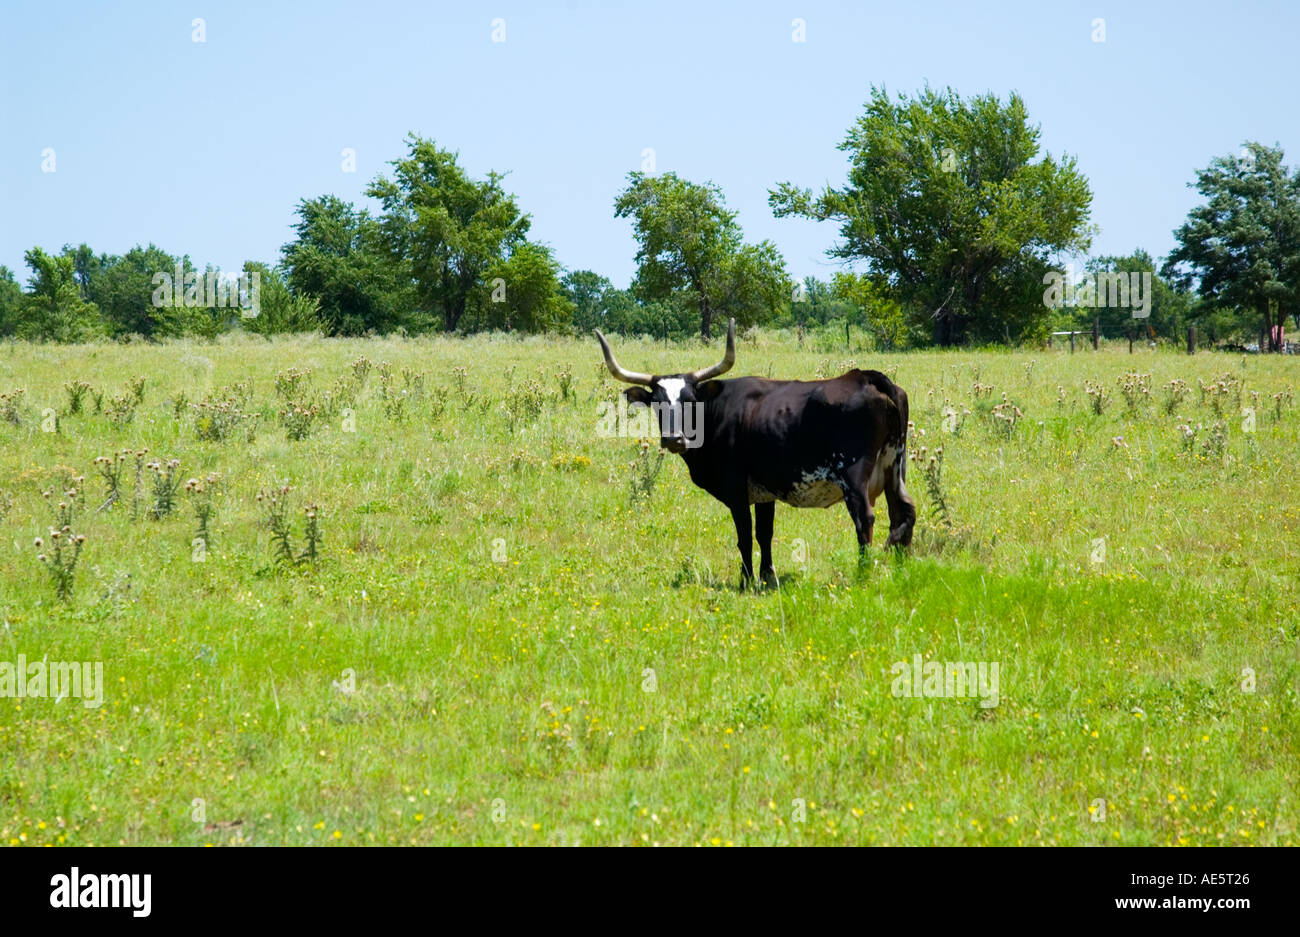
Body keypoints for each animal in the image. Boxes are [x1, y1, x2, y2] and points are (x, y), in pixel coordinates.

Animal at [595, 322, 915, 584]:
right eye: (657, 403)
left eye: (690, 400)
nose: (675, 439)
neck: (717, 414)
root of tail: (867, 377)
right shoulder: (764, 492)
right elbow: (765, 533)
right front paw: (767, 575)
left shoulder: (737, 491)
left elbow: (745, 536)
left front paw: (747, 579)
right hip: (894, 468)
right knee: (903, 511)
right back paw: (903, 567)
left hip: (854, 475)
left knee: (865, 518)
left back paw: (863, 573)